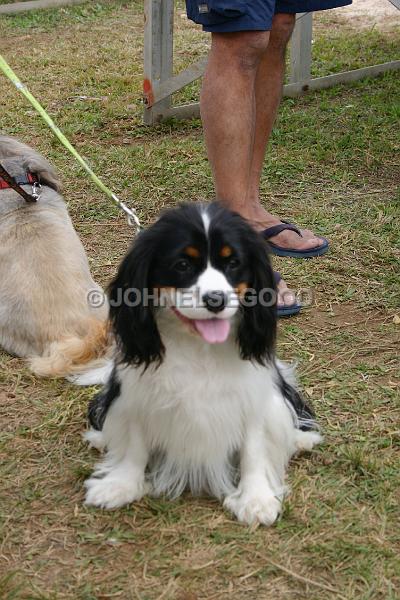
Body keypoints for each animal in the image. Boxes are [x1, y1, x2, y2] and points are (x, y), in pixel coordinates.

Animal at [84, 202, 322, 524]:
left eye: (233, 263)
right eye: (183, 265)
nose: (216, 300)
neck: (199, 345)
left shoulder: (254, 396)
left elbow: (254, 447)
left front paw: (256, 498)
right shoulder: (135, 393)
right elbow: (134, 442)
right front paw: (120, 485)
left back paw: (299, 440)